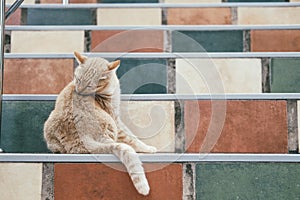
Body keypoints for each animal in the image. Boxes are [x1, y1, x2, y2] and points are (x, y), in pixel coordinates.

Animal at [45, 52, 157, 195]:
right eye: (78, 80)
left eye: (89, 86)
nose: (78, 91)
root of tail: (84, 138)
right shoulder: (116, 119)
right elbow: (132, 138)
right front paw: (148, 148)